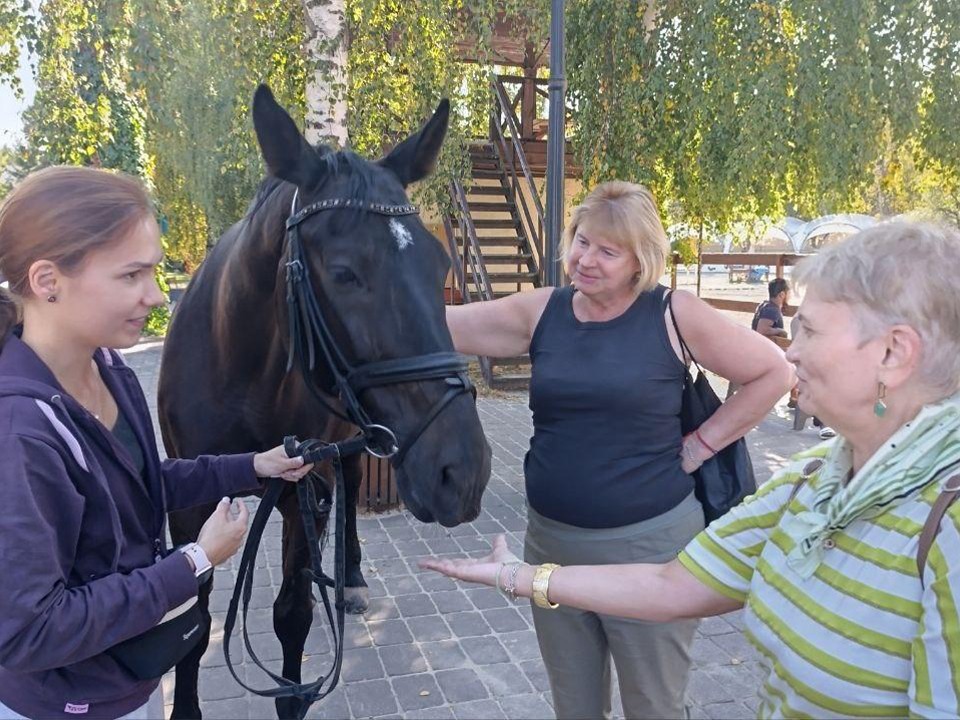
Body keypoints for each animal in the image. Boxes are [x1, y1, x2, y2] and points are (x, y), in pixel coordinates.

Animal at [160, 86, 492, 720]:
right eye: (343, 273)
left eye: (440, 265)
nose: (462, 473)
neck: (241, 373)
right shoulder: (188, 499)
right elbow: (192, 616)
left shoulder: (302, 489)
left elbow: (293, 616)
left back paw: (351, 575)